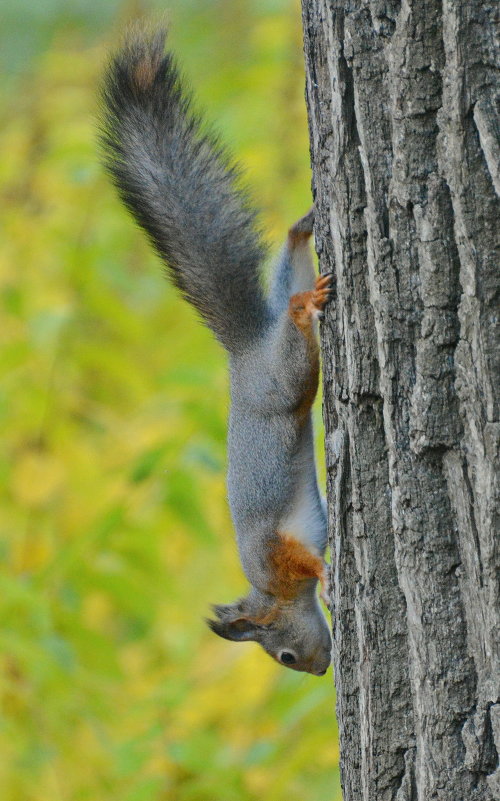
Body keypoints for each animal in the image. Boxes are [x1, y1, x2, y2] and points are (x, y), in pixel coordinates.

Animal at [98, 26, 332, 676]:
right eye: (286, 658)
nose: (319, 670)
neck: (271, 589)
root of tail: (248, 349)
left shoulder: (277, 550)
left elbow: (311, 563)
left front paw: (331, 577)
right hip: (286, 333)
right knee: (291, 259)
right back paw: (303, 232)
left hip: (283, 378)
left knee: (298, 347)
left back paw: (305, 307)